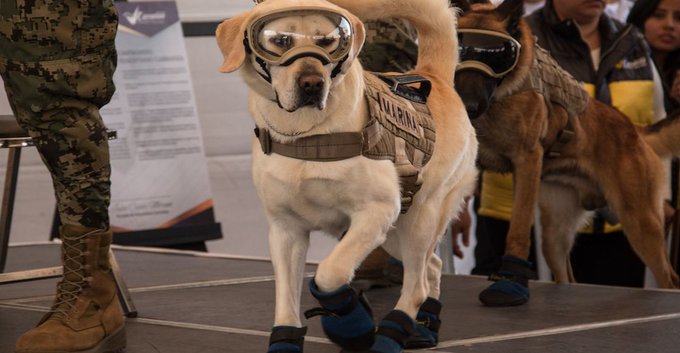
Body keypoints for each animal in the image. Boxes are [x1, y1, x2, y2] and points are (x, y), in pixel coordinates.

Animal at [215, 0, 476, 350]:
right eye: (280, 40)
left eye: (328, 41)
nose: (312, 83)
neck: (307, 134)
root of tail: (434, 76)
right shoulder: (285, 230)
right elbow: (285, 298)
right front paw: (286, 337)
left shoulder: (376, 211)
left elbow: (330, 272)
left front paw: (350, 320)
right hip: (394, 234)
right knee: (432, 267)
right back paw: (424, 328)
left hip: (418, 218)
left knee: (417, 283)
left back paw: (393, 332)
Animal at [452, 0, 680, 304]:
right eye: (460, 49)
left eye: (498, 56)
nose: (468, 106)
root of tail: (637, 131)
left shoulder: (527, 161)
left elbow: (519, 229)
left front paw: (510, 280)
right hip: (555, 236)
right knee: (568, 277)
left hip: (641, 223)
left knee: (669, 279)